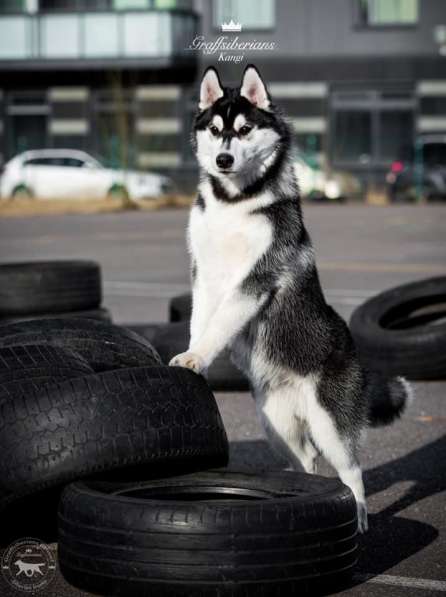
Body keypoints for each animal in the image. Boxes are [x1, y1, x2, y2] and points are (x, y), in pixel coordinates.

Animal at [170, 64, 412, 532]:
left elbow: (222, 321)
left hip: (330, 421)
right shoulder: (203, 273)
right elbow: (201, 320)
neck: (234, 204)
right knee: (308, 462)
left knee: (350, 469)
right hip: (275, 424)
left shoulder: (256, 277)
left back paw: (357, 517)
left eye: (244, 130)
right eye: (215, 130)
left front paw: (197, 356)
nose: (223, 160)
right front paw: (194, 356)